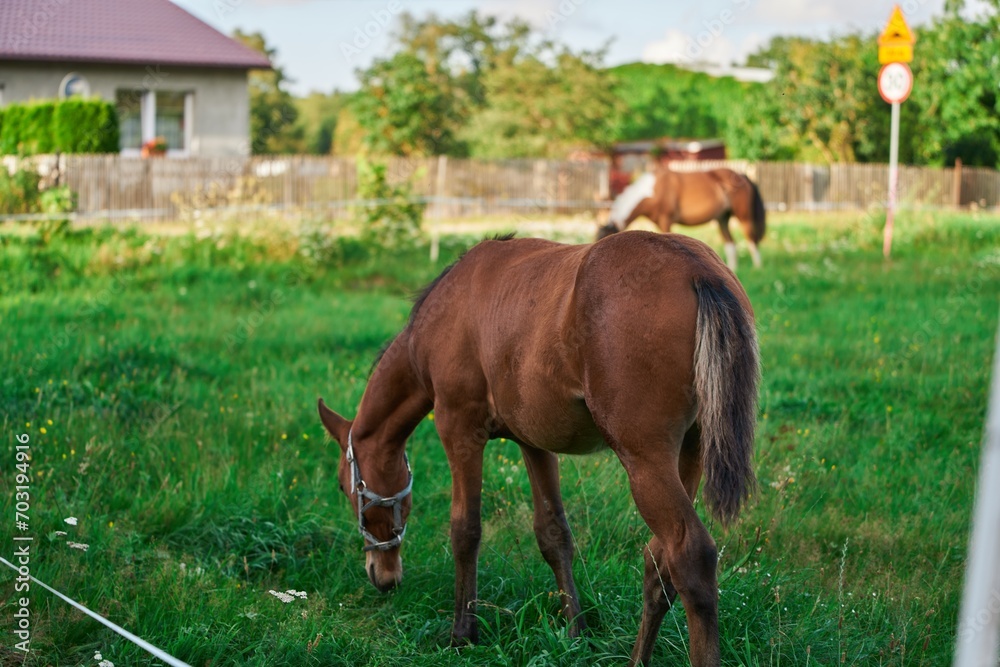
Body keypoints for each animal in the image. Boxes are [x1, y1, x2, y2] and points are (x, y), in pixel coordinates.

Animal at [318, 230, 759, 666]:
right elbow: (553, 533)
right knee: (659, 560)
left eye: (343, 487)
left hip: (645, 461)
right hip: (690, 453)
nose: (382, 575)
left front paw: (463, 633)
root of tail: (698, 269)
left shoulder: (458, 430)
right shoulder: (535, 443)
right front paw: (575, 629)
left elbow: (465, 531)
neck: (444, 313)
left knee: (690, 556)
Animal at [597, 167, 767, 271]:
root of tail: (741, 175)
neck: (652, 190)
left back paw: (757, 268)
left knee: (751, 240)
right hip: (722, 219)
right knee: (730, 243)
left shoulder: (665, 221)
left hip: (743, 217)